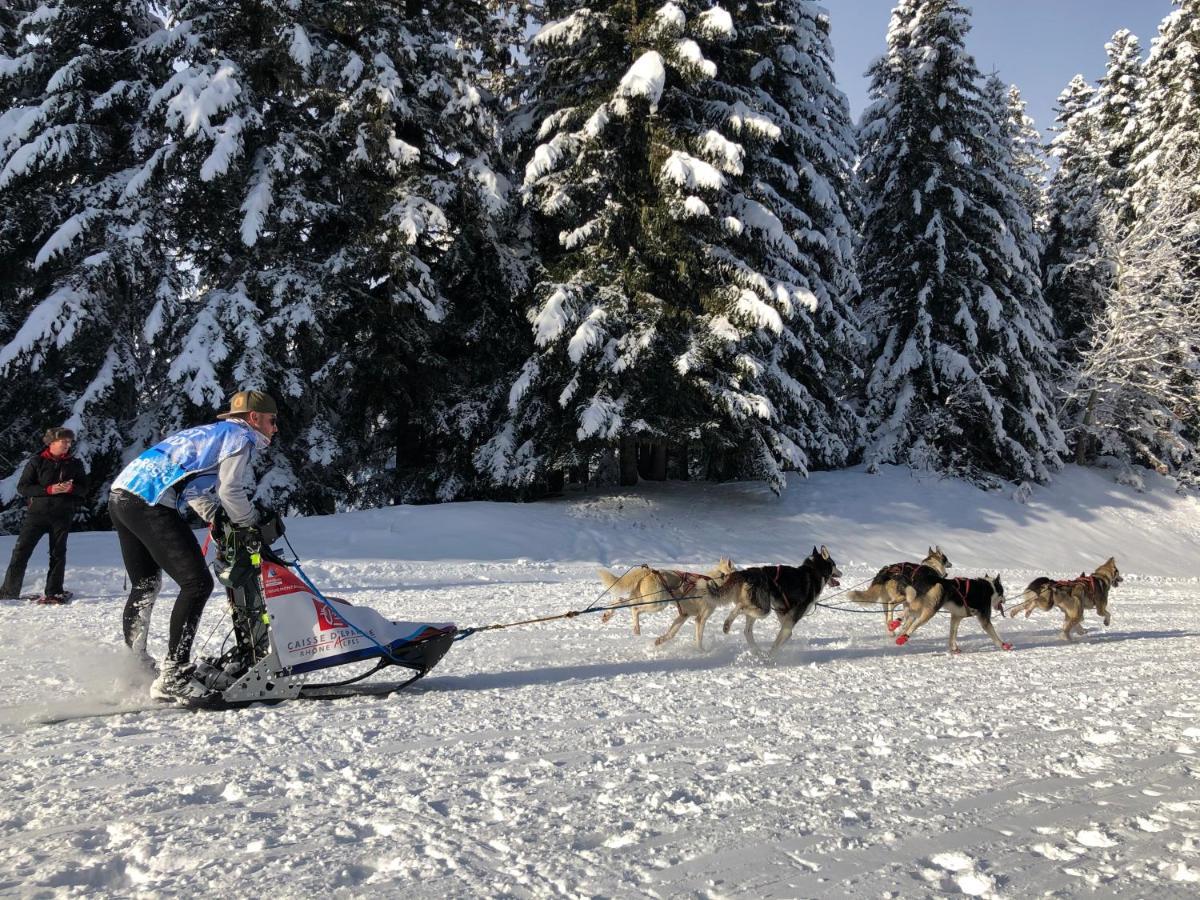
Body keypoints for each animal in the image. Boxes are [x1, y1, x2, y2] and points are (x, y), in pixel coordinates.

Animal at [597, 556, 734, 648]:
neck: (716, 582)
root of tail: (650, 571)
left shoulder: (683, 615)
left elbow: (671, 634)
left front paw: (660, 640)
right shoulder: (700, 619)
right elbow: (699, 639)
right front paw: (701, 652)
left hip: (642, 600)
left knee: (619, 601)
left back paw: (608, 615)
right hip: (657, 604)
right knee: (635, 609)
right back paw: (636, 628)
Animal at [700, 547, 844, 657]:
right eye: (835, 565)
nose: (841, 573)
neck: (814, 571)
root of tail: (746, 572)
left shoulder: (785, 617)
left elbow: (787, 635)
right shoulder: (791, 619)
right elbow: (779, 641)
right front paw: (770, 658)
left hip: (758, 608)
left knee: (747, 631)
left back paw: (757, 651)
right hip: (764, 609)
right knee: (740, 608)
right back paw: (727, 625)